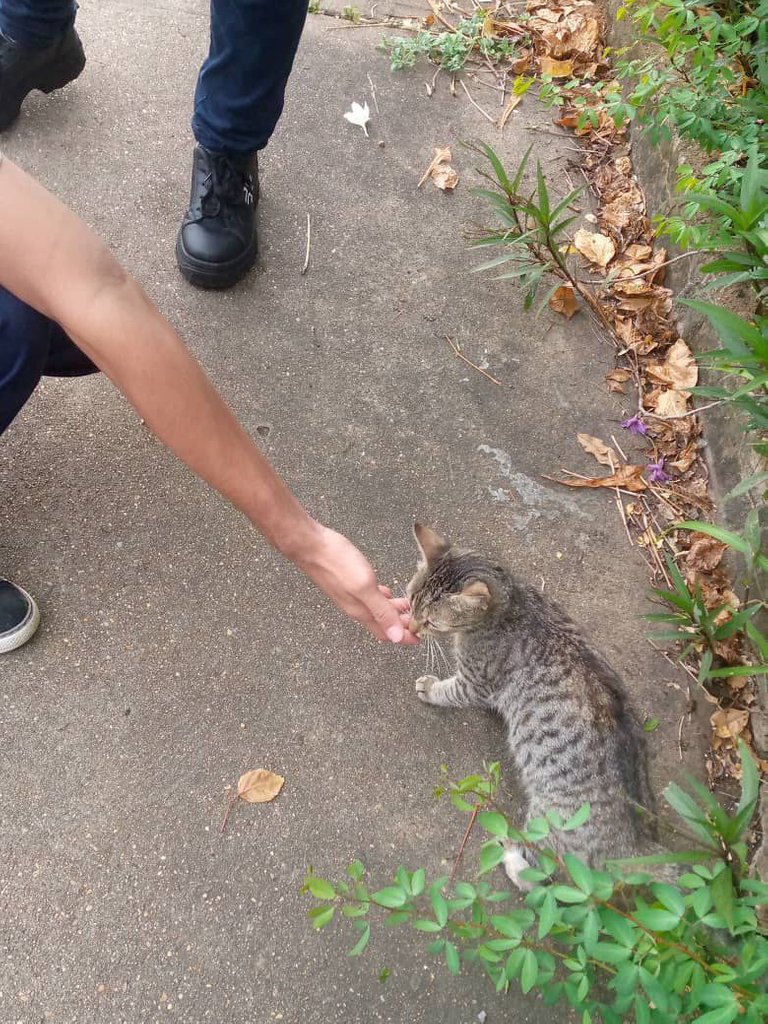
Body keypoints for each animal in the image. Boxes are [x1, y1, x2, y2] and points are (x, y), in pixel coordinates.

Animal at [409, 524, 663, 884]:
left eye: (432, 622)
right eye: (410, 601)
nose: (412, 625)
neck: (511, 603)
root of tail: (636, 846)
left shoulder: (477, 683)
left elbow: (450, 691)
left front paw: (431, 688)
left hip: (548, 823)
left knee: (542, 874)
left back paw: (511, 858)